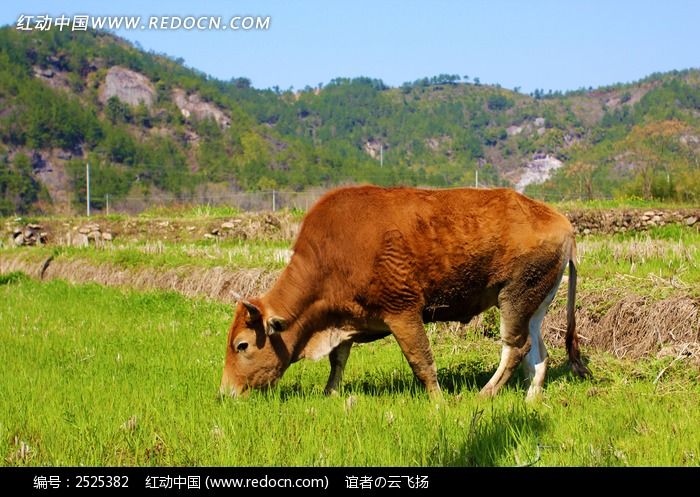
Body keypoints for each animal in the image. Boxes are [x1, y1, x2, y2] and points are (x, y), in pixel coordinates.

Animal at [220, 185, 592, 400]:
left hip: (514, 298)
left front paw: (439, 403)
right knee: (539, 353)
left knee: (516, 348)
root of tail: (560, 221)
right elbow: (337, 360)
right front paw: (330, 394)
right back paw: (530, 400)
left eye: (242, 345)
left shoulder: (403, 312)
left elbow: (421, 361)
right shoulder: (345, 318)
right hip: (535, 304)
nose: (225, 393)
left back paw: (484, 394)